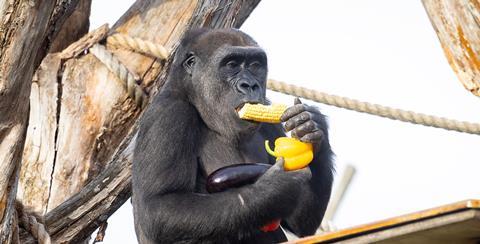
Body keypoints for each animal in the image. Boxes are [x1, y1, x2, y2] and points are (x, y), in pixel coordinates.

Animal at [131, 27, 334, 243]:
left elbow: (299, 223)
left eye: (255, 65)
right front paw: (274, 190)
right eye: (231, 65)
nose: (250, 85)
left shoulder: (267, 109)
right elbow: (161, 206)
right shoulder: (168, 115)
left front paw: (311, 126)